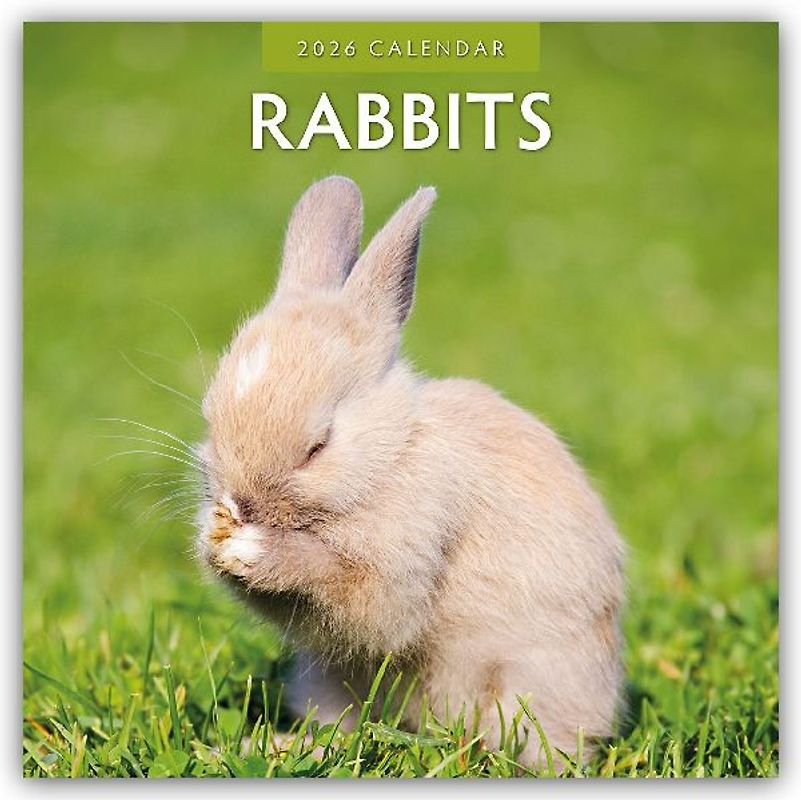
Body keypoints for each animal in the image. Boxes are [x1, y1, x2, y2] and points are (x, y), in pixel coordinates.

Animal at [195, 175, 626, 766]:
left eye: (318, 446)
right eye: (209, 417)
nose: (241, 504)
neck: (390, 454)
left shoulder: (410, 549)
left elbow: (366, 601)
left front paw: (253, 549)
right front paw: (212, 540)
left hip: (533, 685)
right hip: (327, 681)